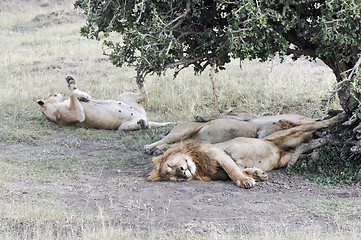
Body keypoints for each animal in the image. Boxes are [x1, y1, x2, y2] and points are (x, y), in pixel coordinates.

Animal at [37, 76, 172, 130]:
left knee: (145, 97)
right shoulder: (75, 116)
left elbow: (75, 92)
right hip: (123, 127)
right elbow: (73, 97)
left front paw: (71, 81)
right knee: (145, 124)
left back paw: (140, 81)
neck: (55, 107)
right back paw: (142, 123)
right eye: (52, 95)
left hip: (123, 96)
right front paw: (83, 96)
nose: (57, 93)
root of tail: (143, 116)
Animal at [147, 113, 346, 188]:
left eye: (172, 166)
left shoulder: (218, 153)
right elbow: (238, 169)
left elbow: (233, 171)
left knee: (315, 125)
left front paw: (245, 181)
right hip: (286, 155)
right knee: (302, 150)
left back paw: (339, 117)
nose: (183, 171)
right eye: (173, 176)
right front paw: (257, 174)